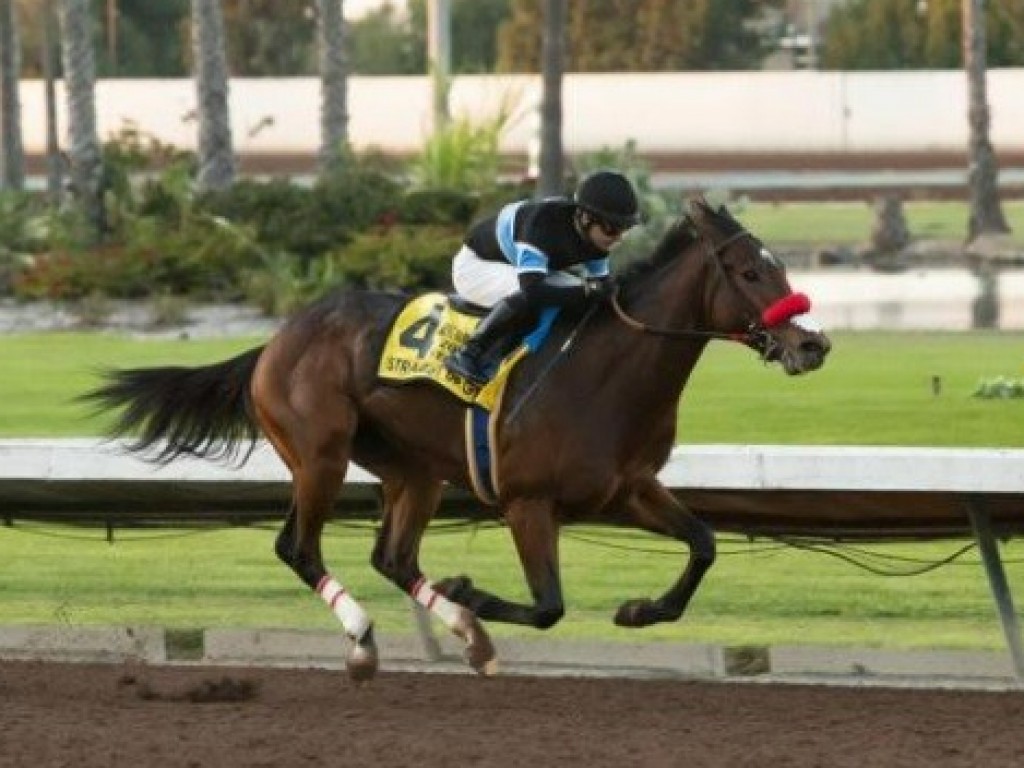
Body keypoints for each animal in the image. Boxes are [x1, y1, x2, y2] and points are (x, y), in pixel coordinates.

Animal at [81, 196, 831, 679]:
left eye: (779, 266)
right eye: (749, 271)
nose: (812, 343)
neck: (607, 372)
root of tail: (276, 340)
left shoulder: (628, 489)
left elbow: (703, 544)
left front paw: (639, 609)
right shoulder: (528, 502)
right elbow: (550, 606)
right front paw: (472, 591)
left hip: (416, 471)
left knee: (393, 557)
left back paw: (467, 636)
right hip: (320, 455)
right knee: (298, 547)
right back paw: (367, 640)